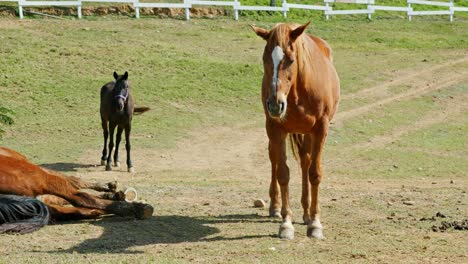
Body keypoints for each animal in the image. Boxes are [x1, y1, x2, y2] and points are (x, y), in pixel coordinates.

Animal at [252, 22, 340, 240]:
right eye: (265, 58)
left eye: (291, 60)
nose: (275, 104)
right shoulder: (276, 128)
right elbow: (283, 173)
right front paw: (286, 224)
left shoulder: (320, 129)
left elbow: (314, 173)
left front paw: (315, 223)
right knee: (274, 159)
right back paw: (275, 207)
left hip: (307, 133)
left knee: (305, 161)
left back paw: (307, 212)